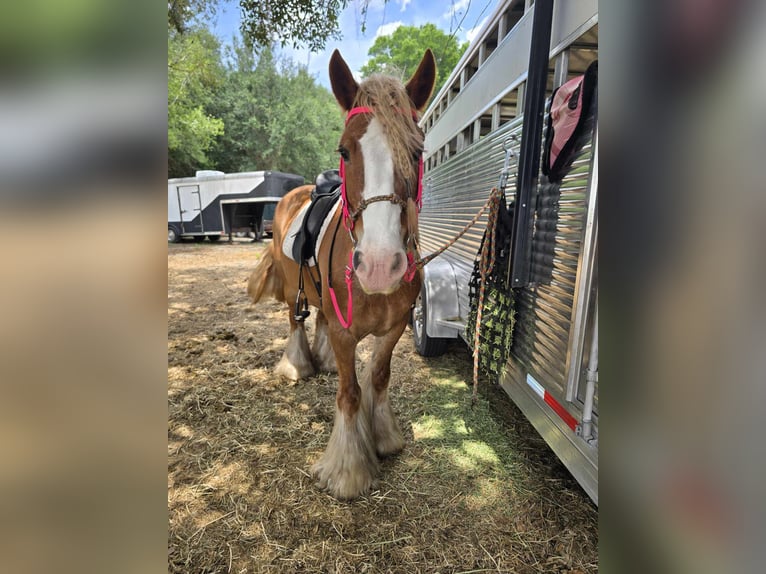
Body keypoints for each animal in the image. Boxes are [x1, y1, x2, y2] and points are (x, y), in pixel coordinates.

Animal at [247, 49, 436, 499]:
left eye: (417, 151)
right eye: (345, 151)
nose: (380, 266)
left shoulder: (394, 328)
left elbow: (379, 378)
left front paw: (383, 437)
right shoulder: (345, 331)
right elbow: (350, 394)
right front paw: (348, 470)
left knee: (317, 317)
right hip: (293, 291)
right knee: (295, 321)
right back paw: (297, 365)